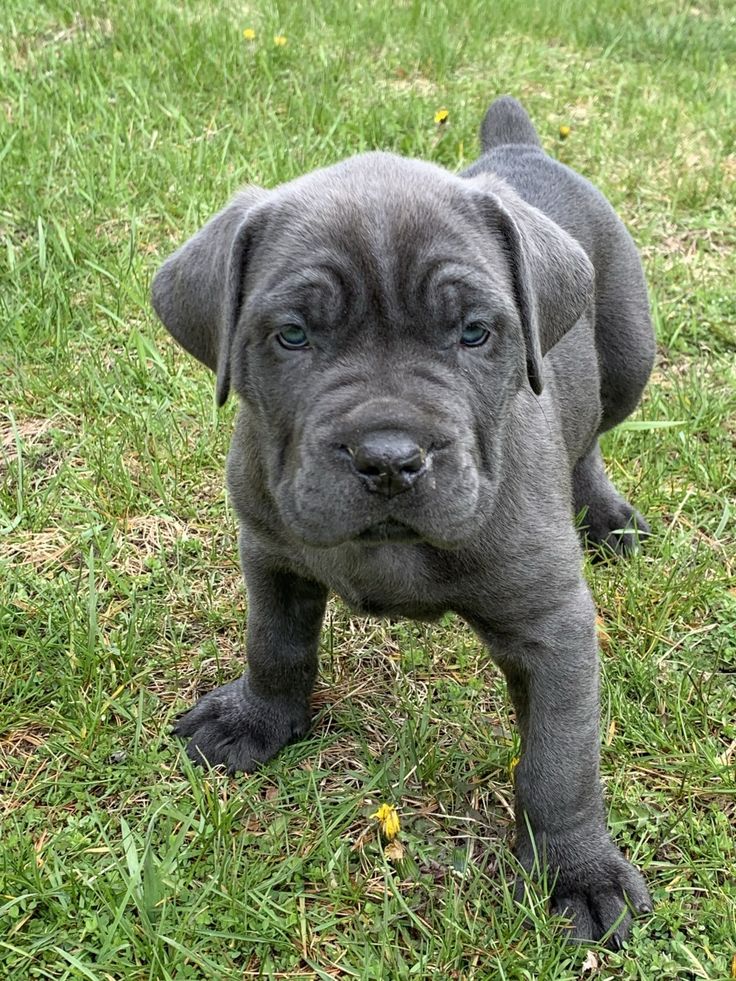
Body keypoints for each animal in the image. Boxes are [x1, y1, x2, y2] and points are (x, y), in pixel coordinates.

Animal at [152, 97, 652, 940]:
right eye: (292, 334)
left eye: (475, 331)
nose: (388, 456)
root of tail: (519, 147)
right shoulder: (272, 554)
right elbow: (275, 645)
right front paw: (256, 721)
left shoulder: (552, 624)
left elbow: (560, 759)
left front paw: (578, 873)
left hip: (629, 352)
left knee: (590, 434)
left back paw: (608, 516)